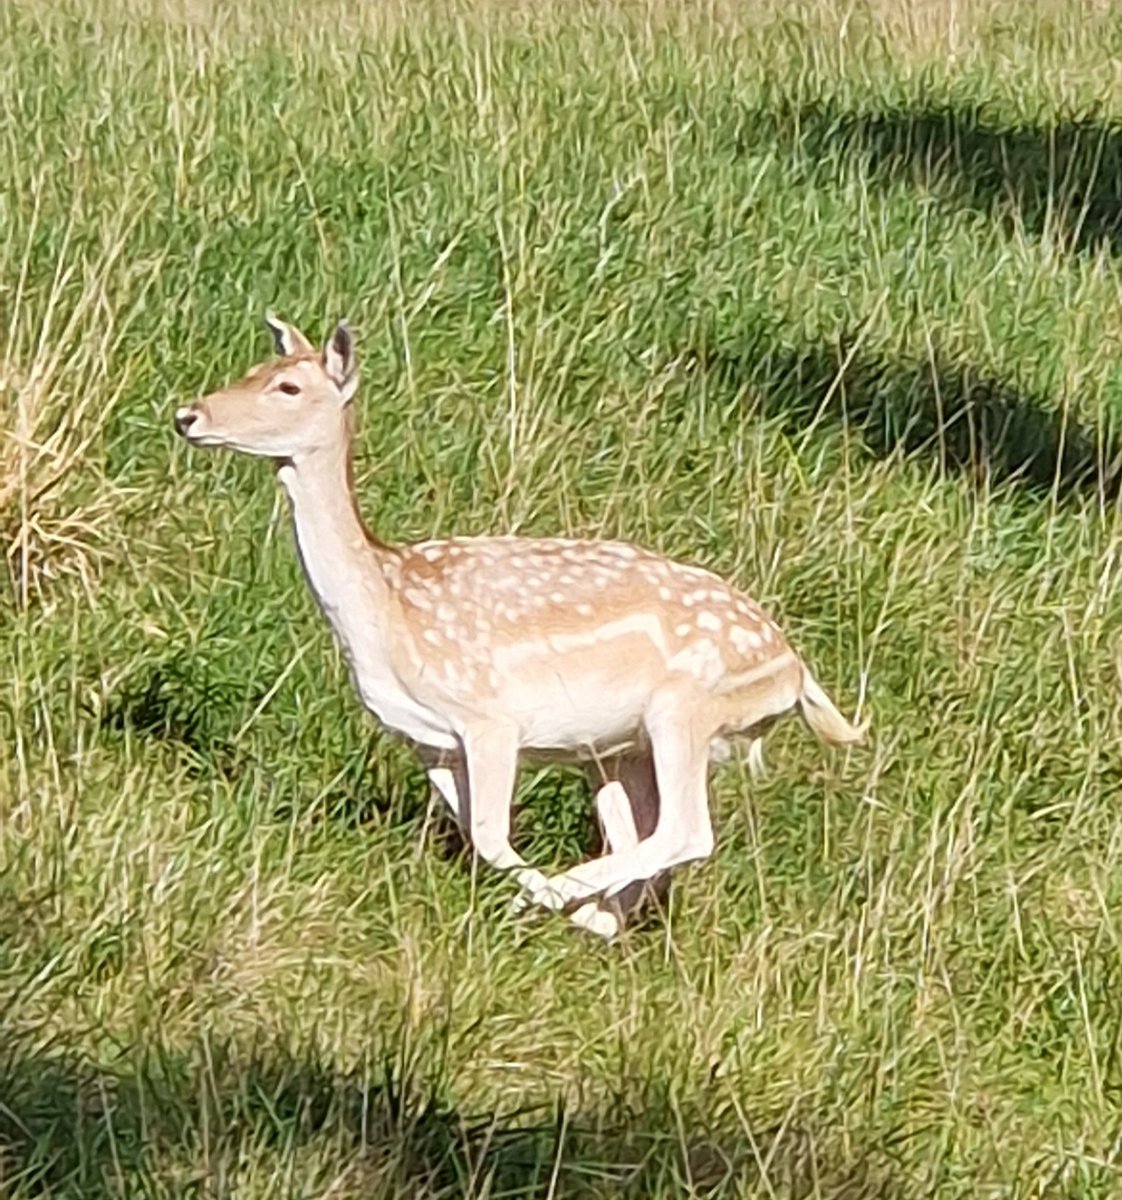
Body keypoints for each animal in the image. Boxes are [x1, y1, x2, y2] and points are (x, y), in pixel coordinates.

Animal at [173, 315, 868, 940]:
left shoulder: (489, 716)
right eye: (253, 368)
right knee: (640, 833)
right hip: (614, 748)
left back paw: (572, 903)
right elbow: (475, 832)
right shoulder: (429, 739)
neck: (389, 615)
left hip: (687, 708)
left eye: (288, 386)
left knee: (686, 830)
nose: (188, 416)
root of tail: (794, 672)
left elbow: (490, 834)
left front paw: (530, 896)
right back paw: (599, 919)